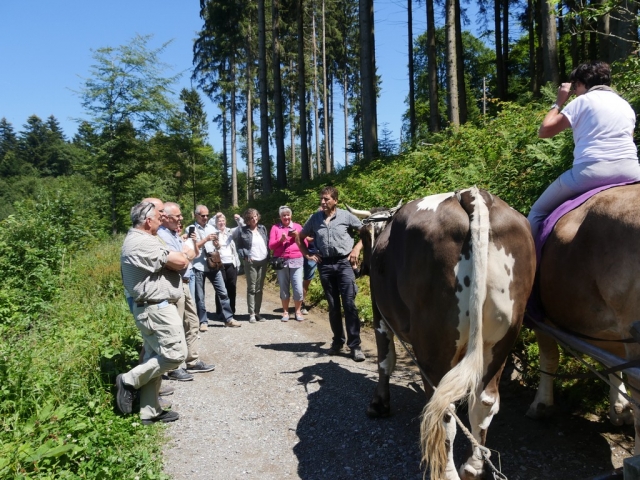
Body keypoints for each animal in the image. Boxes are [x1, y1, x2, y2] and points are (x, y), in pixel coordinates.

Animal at [356, 188, 536, 480]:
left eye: (362, 235)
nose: (358, 265)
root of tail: (472, 195)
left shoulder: (379, 312)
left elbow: (385, 360)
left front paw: (379, 404)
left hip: (434, 345)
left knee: (442, 408)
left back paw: (447, 471)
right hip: (502, 338)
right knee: (484, 401)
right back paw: (474, 465)